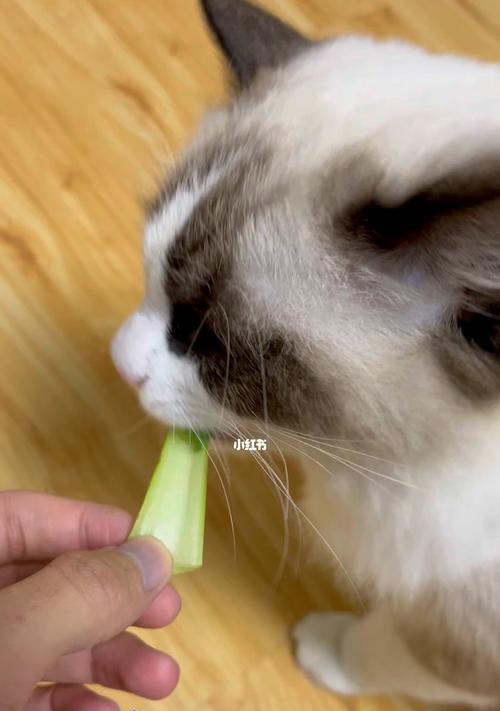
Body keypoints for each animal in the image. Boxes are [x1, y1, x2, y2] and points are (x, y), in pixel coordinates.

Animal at [111, 0, 500, 708]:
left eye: (209, 340)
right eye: (149, 274)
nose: (119, 360)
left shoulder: (462, 637)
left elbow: (383, 647)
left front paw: (328, 652)